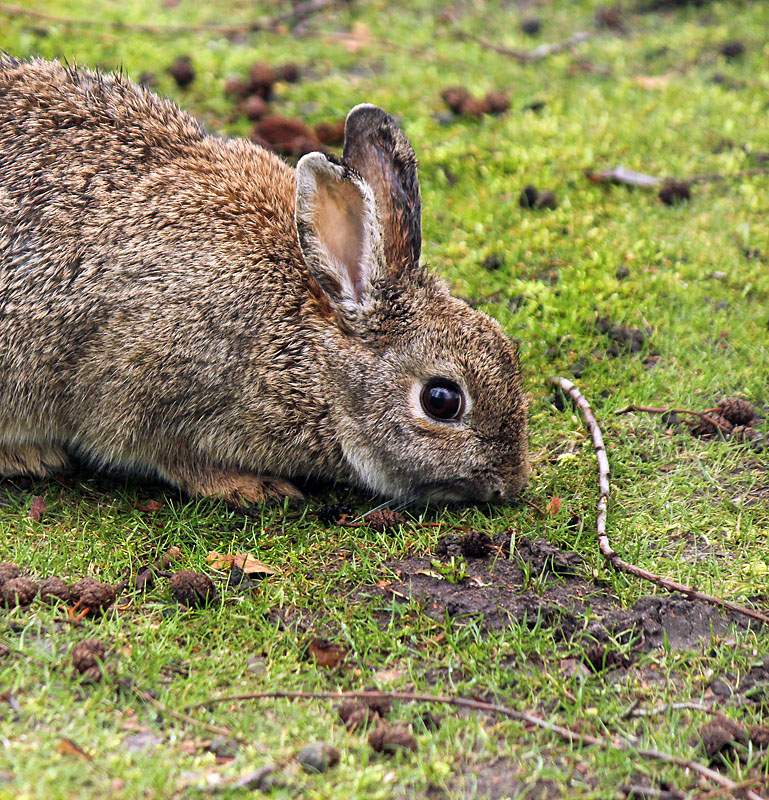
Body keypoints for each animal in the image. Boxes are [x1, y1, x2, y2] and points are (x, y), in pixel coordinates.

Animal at [0, 56, 528, 506]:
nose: (509, 483)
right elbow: (176, 458)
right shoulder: (149, 383)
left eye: (510, 348)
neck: (312, 356)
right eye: (441, 400)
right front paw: (252, 487)